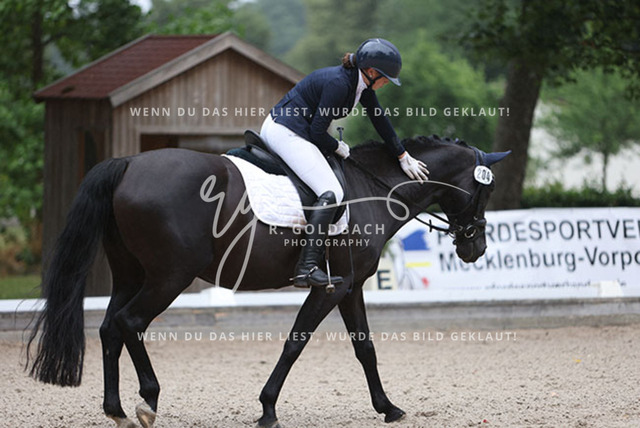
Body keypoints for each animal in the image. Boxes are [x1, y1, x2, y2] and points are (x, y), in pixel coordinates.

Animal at [27, 134, 508, 427]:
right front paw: (268, 408)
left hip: (131, 274)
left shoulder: (350, 287)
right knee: (130, 323)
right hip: (169, 277)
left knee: (110, 327)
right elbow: (295, 342)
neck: (370, 187)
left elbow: (365, 349)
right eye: (485, 190)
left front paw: (387, 408)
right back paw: (148, 400)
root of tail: (128, 164)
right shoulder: (331, 287)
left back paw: (117, 410)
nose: (476, 248)